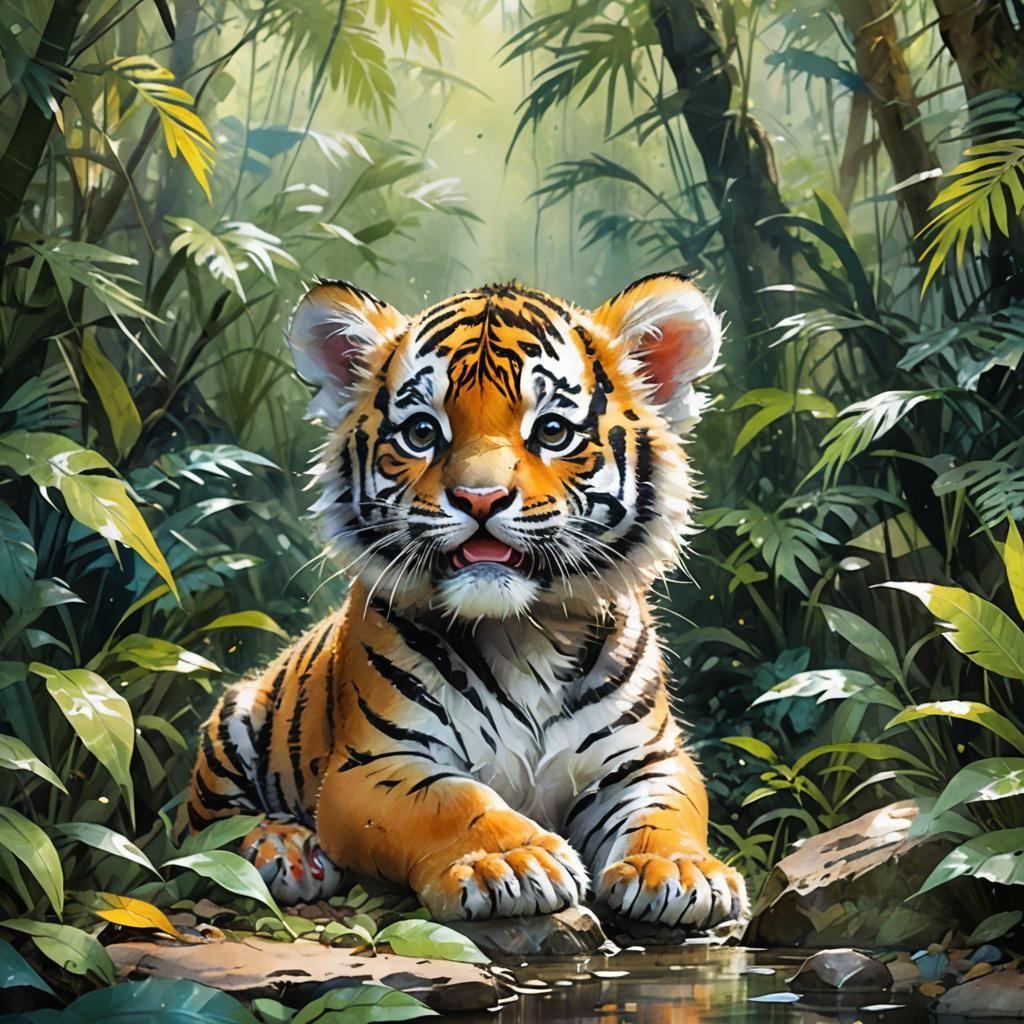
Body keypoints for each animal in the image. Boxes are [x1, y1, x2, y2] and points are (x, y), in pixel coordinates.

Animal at [187, 272, 748, 929]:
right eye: (422, 433)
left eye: (552, 431)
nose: (480, 498)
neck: (524, 634)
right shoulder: (371, 766)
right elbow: (454, 800)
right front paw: (510, 862)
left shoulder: (648, 758)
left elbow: (667, 812)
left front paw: (680, 872)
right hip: (235, 717)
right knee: (211, 826)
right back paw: (286, 851)